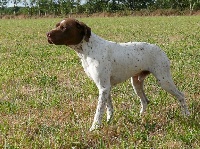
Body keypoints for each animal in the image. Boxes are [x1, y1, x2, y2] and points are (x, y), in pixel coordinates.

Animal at [46, 18, 190, 131]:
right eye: (56, 25)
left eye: (64, 28)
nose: (47, 35)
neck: (88, 50)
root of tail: (160, 50)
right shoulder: (105, 88)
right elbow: (109, 108)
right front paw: (109, 121)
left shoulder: (103, 88)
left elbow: (99, 112)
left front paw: (94, 127)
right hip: (136, 83)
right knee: (145, 101)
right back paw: (141, 116)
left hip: (164, 80)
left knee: (181, 96)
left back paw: (187, 115)